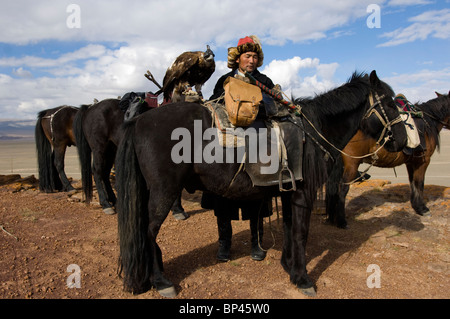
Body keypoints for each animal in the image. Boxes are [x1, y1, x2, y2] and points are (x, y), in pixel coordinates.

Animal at [113, 70, 408, 298]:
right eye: (390, 104)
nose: (403, 141)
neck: (313, 132)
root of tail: (139, 120)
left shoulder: (289, 192)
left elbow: (289, 229)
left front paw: (288, 266)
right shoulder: (302, 194)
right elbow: (301, 233)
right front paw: (303, 279)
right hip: (163, 192)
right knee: (149, 231)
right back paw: (161, 281)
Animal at [326, 91, 450, 229]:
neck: (428, 121)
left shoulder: (411, 162)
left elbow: (412, 182)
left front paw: (415, 205)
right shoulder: (423, 161)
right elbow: (419, 183)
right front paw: (422, 209)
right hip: (352, 163)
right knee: (342, 188)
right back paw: (341, 221)